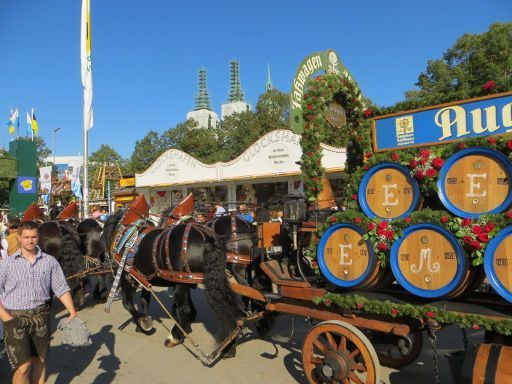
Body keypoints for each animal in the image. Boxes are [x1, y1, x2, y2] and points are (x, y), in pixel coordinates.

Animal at [103, 208, 243, 356]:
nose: (106, 261)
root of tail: (208, 238)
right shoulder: (146, 278)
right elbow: (144, 300)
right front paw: (143, 322)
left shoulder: (129, 276)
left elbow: (127, 304)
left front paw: (144, 322)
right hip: (208, 279)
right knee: (228, 307)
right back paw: (230, 344)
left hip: (181, 283)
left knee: (184, 309)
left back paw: (174, 336)